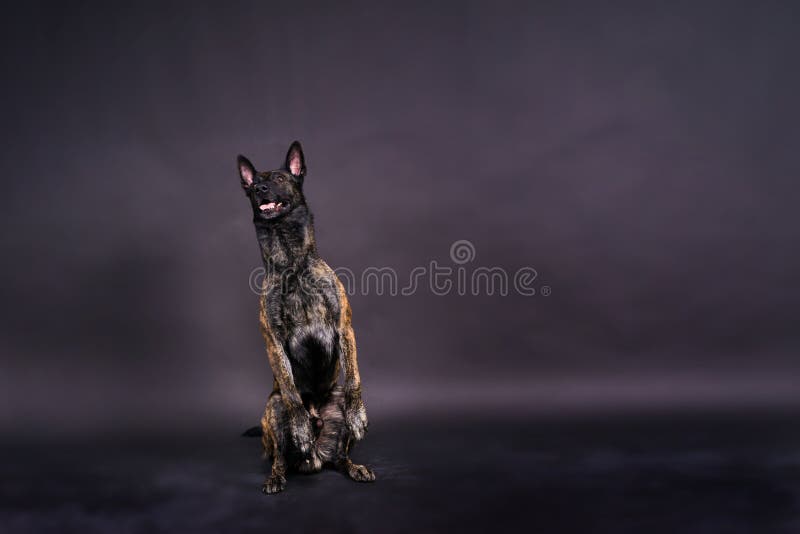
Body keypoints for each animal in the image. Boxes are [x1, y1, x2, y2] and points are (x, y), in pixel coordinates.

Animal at [238, 141, 376, 494]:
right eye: (254, 183)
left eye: (278, 178)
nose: (259, 189)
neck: (293, 265)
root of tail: (314, 459)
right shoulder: (273, 342)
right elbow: (290, 390)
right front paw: (300, 428)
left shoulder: (344, 329)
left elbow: (354, 379)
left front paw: (358, 415)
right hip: (272, 409)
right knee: (279, 456)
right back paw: (278, 473)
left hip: (335, 406)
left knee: (340, 457)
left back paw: (354, 466)